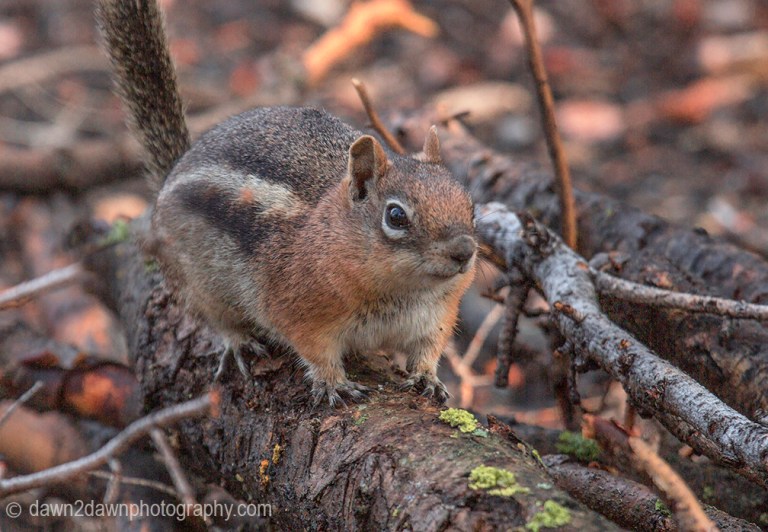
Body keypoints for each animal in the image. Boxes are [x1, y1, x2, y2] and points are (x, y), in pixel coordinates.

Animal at [95, 0, 477, 406]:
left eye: (471, 206)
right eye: (396, 216)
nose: (464, 252)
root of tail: (173, 171)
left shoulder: (436, 319)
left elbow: (428, 350)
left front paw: (428, 378)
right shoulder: (302, 314)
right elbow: (316, 352)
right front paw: (334, 383)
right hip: (198, 285)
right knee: (214, 318)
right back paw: (239, 342)